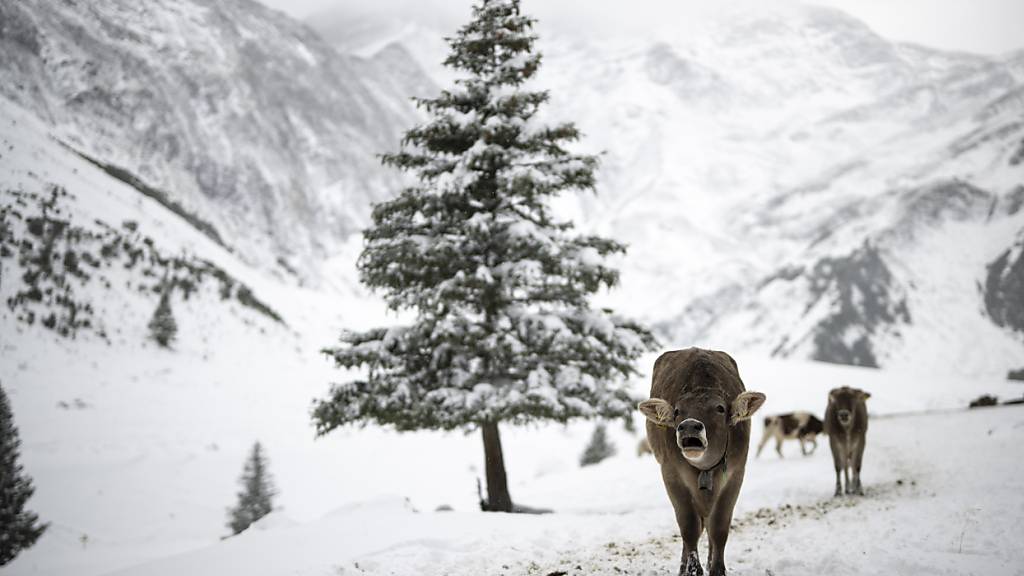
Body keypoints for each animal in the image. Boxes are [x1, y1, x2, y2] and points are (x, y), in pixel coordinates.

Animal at [634, 344, 765, 573]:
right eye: (677, 411)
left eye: (720, 408)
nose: (689, 426)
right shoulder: (671, 473)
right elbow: (689, 527)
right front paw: (692, 569)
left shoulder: (735, 474)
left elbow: (719, 527)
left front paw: (717, 569)